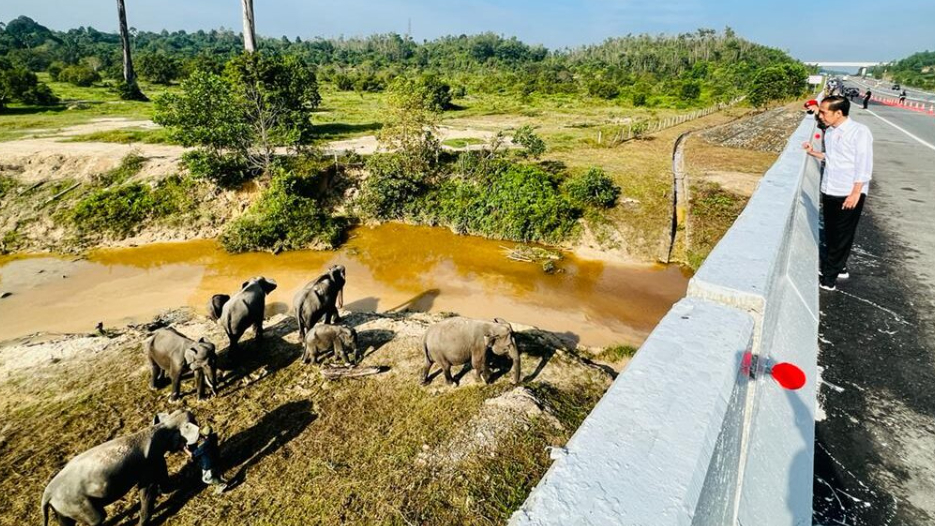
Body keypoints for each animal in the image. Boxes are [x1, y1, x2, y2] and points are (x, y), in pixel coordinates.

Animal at [42, 412, 201, 526]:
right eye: (194, 422)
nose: (195, 455)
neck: (163, 426)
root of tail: (47, 494)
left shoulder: (157, 460)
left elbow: (164, 481)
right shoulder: (148, 465)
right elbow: (147, 491)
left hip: (63, 508)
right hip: (77, 503)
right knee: (98, 519)